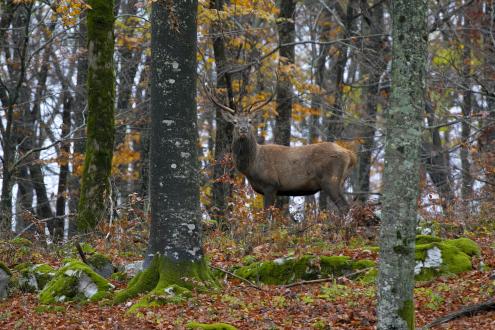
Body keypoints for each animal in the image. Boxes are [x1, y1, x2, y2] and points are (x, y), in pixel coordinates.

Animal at [204, 85, 356, 217]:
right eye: (235, 122)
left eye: (250, 121)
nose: (243, 129)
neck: (252, 164)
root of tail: (350, 154)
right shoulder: (274, 190)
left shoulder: (270, 184)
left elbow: (266, 217)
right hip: (339, 181)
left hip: (331, 180)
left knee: (345, 207)